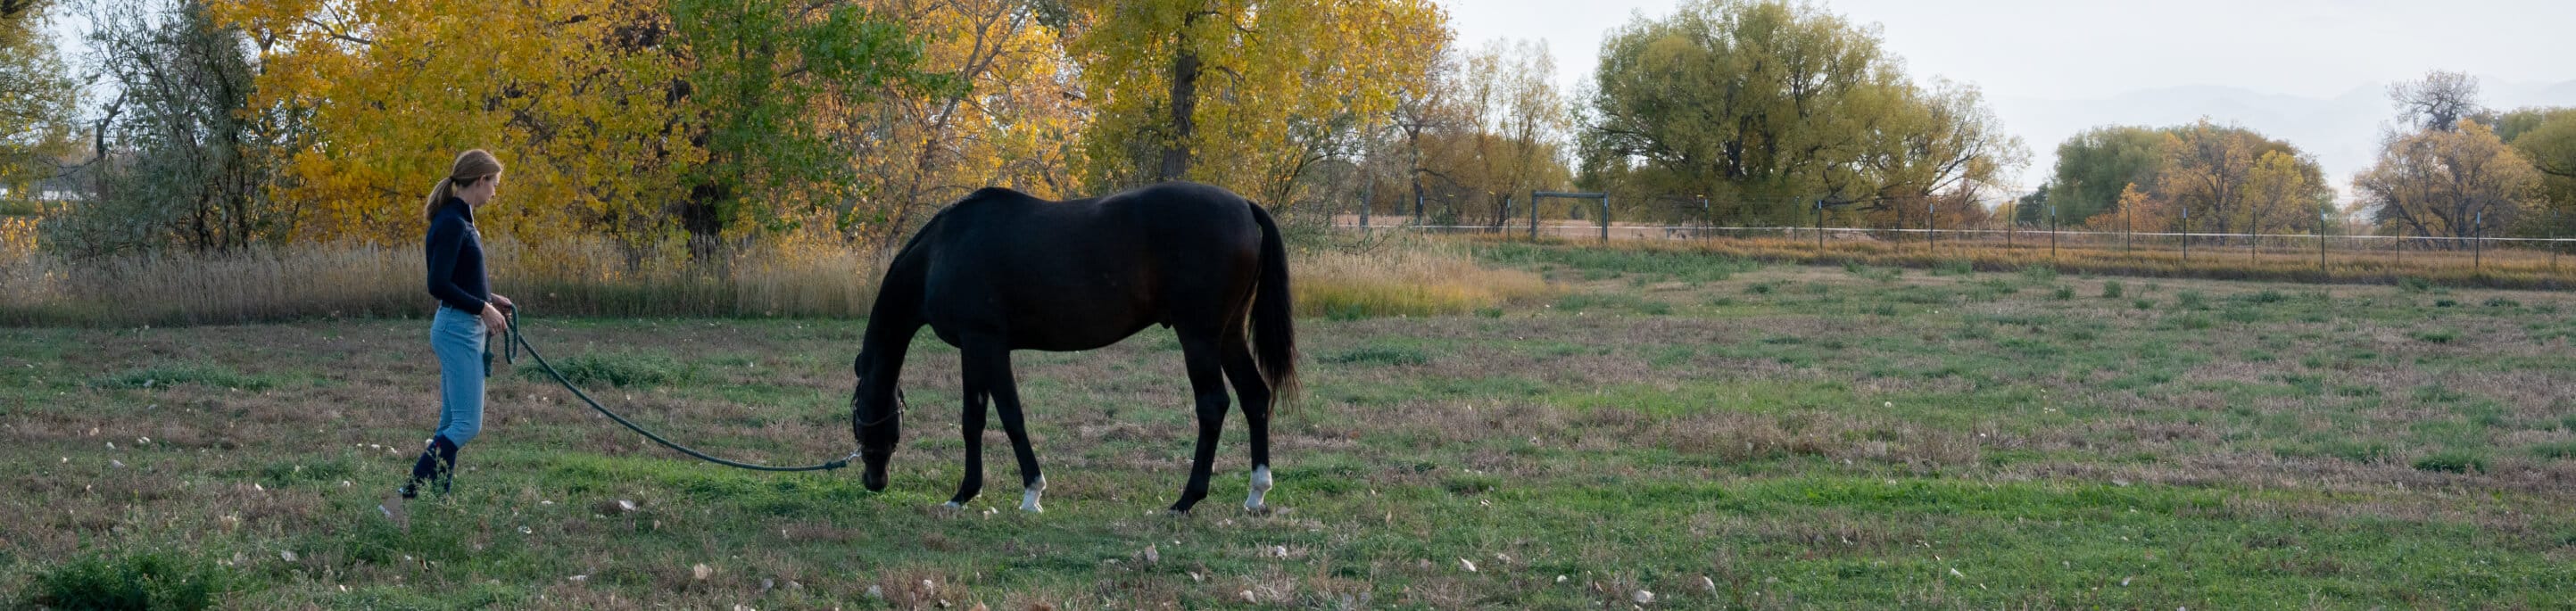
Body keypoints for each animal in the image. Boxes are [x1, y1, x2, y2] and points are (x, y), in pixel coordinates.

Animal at [848, 181, 1300, 514]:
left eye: (858, 413)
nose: (874, 480)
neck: (943, 251)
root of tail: (1244, 206)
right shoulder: (972, 348)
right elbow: (972, 420)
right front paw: (964, 495)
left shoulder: (987, 343)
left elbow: (1010, 417)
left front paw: (1032, 493)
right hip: (1228, 334)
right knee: (1254, 397)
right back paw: (1256, 492)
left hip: (1199, 337)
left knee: (1213, 406)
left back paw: (1187, 499)